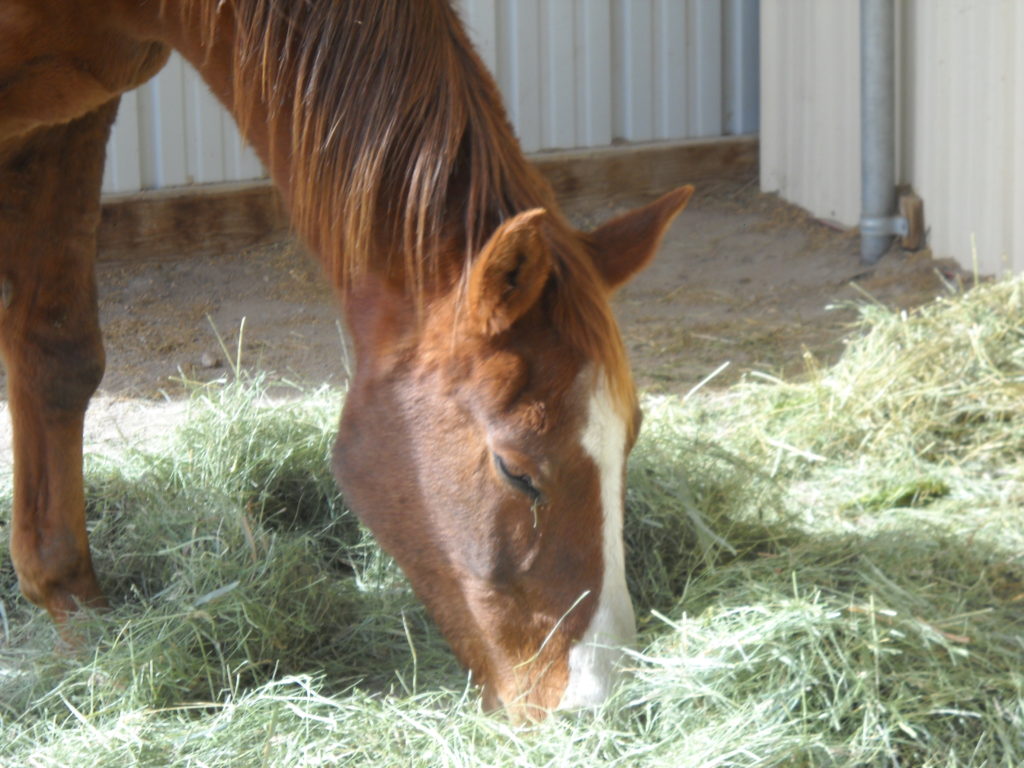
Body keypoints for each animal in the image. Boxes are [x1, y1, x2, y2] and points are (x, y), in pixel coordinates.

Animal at [0, 1, 692, 720]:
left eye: (630, 440)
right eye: (516, 471)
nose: (597, 697)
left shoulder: (75, 114)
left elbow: (57, 355)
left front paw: (84, 625)